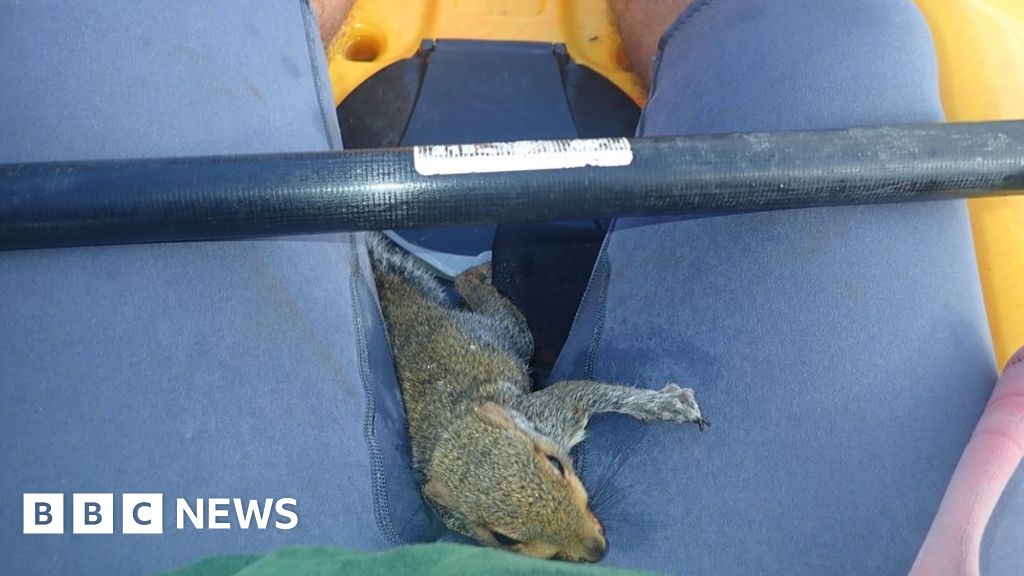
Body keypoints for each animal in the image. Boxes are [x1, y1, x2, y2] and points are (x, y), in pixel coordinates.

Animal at [366, 232, 708, 563]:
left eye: (556, 463)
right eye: (503, 540)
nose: (596, 551)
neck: (456, 423)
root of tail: (417, 319)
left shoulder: (553, 412)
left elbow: (599, 392)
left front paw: (668, 404)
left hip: (508, 333)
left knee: (469, 286)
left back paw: (478, 272)